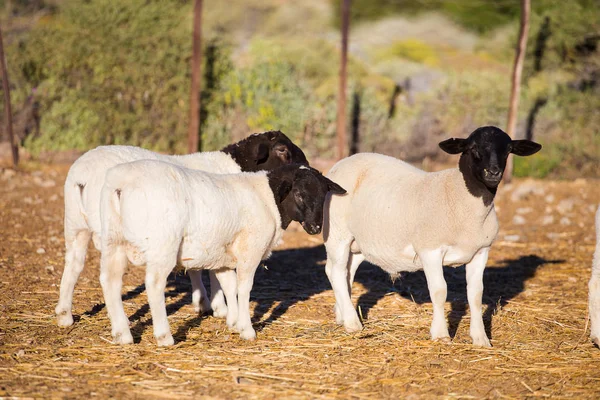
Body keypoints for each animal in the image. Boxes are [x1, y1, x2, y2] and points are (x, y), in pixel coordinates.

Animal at [55, 131, 310, 328]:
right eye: (282, 150)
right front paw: (220, 307)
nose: (306, 166)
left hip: (75, 225)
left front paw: (203, 302)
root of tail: (82, 177)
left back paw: (65, 315)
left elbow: (197, 267)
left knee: (74, 264)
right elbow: (212, 270)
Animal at [99, 159, 346, 344]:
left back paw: (122, 334)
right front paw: (247, 329)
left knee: (110, 282)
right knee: (154, 285)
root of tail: (121, 185)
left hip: (112, 241)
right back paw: (164, 336)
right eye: (300, 194)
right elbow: (244, 288)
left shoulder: (224, 257)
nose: (315, 228)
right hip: (163, 245)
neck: (268, 199)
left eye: (323, 195)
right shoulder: (250, 250)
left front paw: (234, 322)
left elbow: (230, 287)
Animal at [324, 126, 544, 346]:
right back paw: (352, 323)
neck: (460, 197)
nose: (493, 172)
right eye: (473, 148)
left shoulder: (481, 251)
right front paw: (440, 334)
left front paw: (481, 339)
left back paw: (342, 315)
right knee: (336, 272)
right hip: (337, 233)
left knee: (345, 272)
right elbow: (439, 291)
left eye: (508, 150)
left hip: (359, 242)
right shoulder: (429, 250)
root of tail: (342, 163)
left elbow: (476, 294)